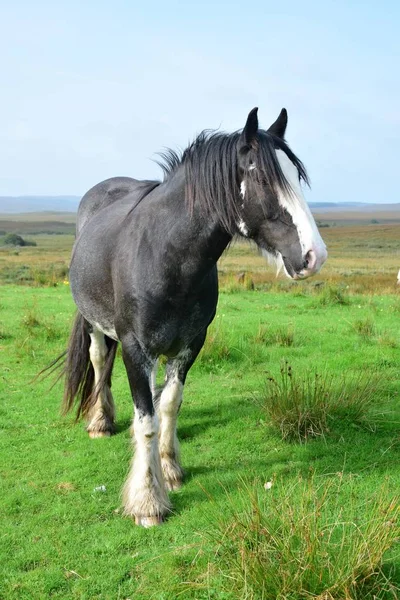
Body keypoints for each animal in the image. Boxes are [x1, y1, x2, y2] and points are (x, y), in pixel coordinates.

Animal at [61, 108, 326, 524]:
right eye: (264, 179)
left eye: (296, 176)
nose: (314, 255)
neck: (166, 255)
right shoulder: (135, 348)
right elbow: (147, 421)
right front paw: (148, 501)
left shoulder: (190, 344)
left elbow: (168, 406)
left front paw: (169, 469)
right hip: (94, 324)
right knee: (99, 359)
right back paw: (101, 421)